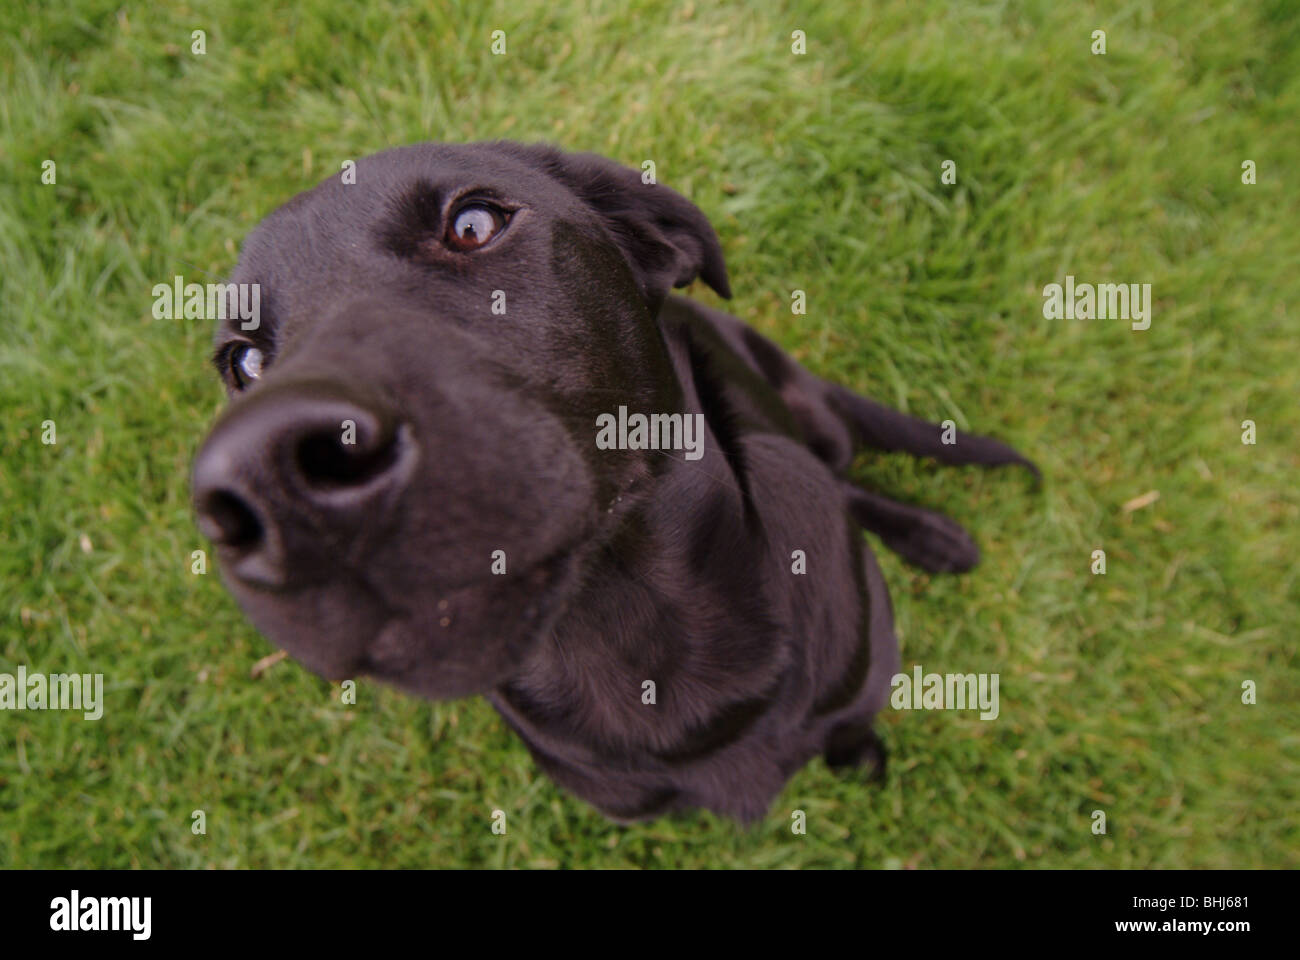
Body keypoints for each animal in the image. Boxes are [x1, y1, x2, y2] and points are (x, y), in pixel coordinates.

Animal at [189, 138, 1034, 816]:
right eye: (243, 362)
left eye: (474, 224)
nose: (265, 481)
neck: (630, 633)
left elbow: (852, 725)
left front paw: (861, 755)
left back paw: (932, 535)